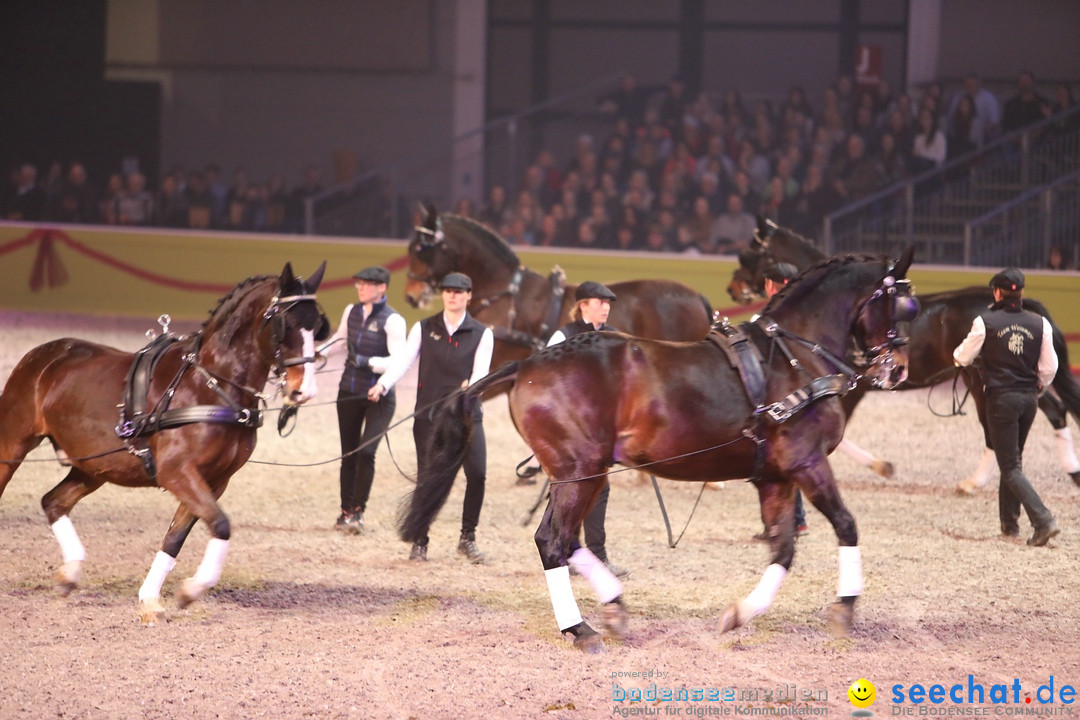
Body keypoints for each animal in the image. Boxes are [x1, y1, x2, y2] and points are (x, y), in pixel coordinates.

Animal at [1, 263, 328, 626]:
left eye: (318, 325)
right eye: (286, 323)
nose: (304, 391)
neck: (208, 386)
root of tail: (43, 356)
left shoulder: (214, 480)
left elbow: (177, 537)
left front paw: (151, 599)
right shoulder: (177, 472)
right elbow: (221, 525)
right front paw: (191, 589)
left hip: (93, 467)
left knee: (53, 502)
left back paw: (69, 573)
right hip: (12, 445)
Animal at [401, 250, 915, 651]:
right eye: (902, 305)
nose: (898, 369)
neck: (794, 359)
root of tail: (528, 363)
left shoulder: (774, 476)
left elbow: (783, 549)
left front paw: (740, 613)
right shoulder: (807, 463)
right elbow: (846, 525)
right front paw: (846, 606)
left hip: (582, 473)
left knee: (568, 540)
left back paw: (612, 605)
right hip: (580, 470)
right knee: (553, 541)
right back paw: (580, 628)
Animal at [730, 218, 1080, 490]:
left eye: (748, 253)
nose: (732, 289)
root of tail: (1019, 303)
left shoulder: (845, 389)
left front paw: (879, 465)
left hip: (984, 381)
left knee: (1011, 423)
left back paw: (979, 481)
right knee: (1051, 411)